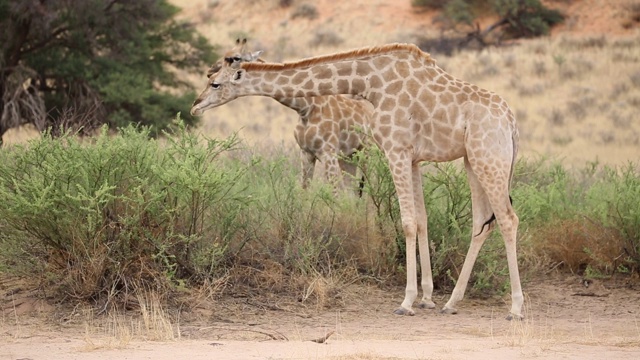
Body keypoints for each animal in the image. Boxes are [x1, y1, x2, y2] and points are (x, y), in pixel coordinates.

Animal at [205, 38, 376, 193]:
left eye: (235, 58)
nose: (210, 72)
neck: (306, 108)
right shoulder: (306, 153)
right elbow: (305, 190)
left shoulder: (329, 153)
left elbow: (335, 193)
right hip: (349, 157)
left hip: (366, 152)